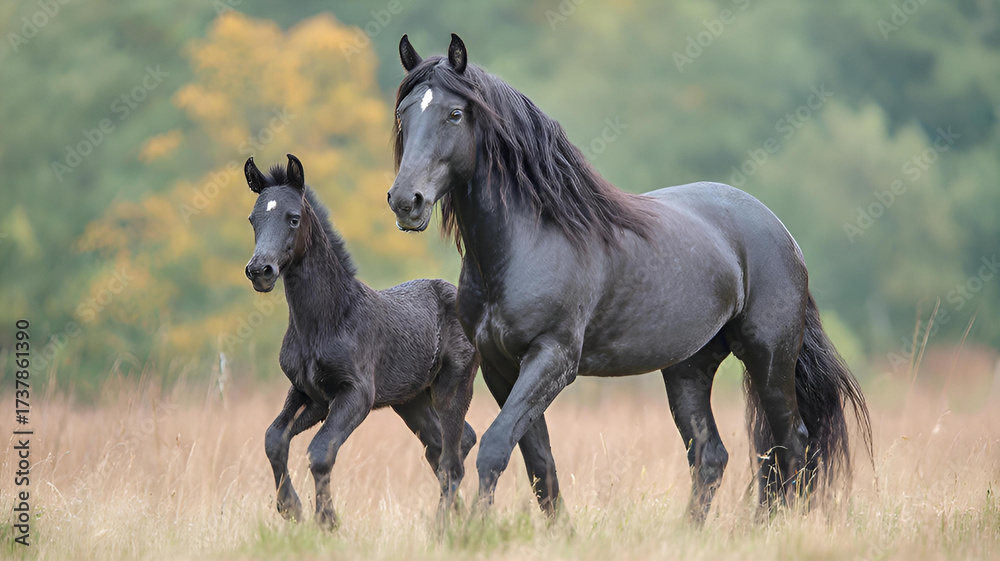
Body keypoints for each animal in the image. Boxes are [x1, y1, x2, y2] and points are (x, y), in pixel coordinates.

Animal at [244, 154, 479, 529]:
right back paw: (459, 518)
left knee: (452, 461)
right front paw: (291, 508)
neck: (327, 320)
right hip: (411, 401)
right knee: (446, 446)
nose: (260, 271)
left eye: (293, 218)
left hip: (453, 387)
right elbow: (274, 439)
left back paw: (443, 525)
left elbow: (320, 451)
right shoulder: (310, 394)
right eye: (253, 219)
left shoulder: (356, 394)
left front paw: (327, 521)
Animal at [386, 34, 872, 523]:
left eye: (455, 113)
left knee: (791, 444)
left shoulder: (552, 359)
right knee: (712, 456)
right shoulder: (500, 368)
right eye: (403, 113)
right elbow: (540, 463)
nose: (406, 200)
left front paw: (475, 530)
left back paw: (770, 526)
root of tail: (782, 233)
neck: (529, 241)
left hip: (769, 357)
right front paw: (560, 532)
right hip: (688, 368)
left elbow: (496, 446)